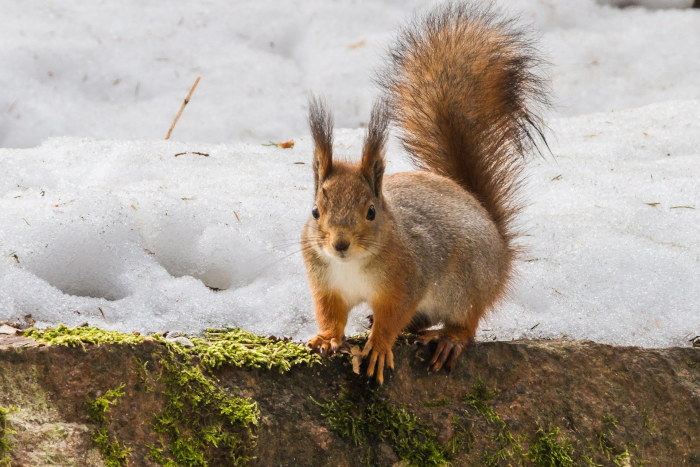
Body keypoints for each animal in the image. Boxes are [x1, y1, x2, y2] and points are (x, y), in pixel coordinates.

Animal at [302, 3, 548, 384]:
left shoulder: (405, 282)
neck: (352, 265)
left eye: (371, 211)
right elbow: (330, 314)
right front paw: (327, 338)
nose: (340, 244)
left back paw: (448, 339)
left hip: (466, 284)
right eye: (315, 211)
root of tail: (502, 254)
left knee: (467, 323)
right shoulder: (325, 284)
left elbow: (392, 318)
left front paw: (379, 346)